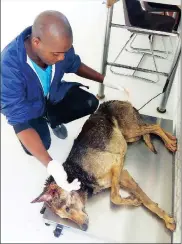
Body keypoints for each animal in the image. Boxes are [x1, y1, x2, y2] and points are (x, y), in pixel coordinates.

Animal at [32, 100, 177, 232]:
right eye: (64, 217)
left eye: (67, 208)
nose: (84, 228)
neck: (78, 174)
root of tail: (116, 101)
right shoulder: (122, 176)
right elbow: (128, 198)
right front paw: (134, 200)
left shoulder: (118, 165)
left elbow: (118, 198)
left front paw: (166, 219)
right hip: (130, 136)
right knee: (149, 128)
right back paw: (172, 139)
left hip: (131, 131)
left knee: (154, 126)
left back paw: (169, 142)